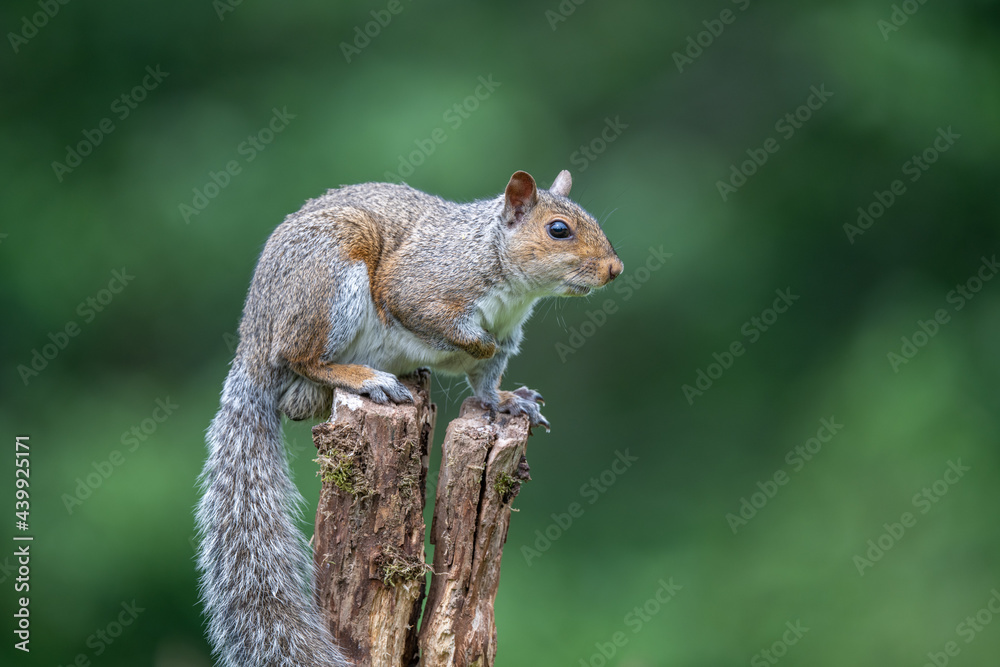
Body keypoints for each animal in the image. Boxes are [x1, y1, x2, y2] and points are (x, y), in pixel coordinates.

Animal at [195, 169, 623, 667]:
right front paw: (477, 347)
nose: (615, 269)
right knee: (301, 359)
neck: (494, 260)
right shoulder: (423, 287)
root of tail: (254, 338)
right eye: (558, 230)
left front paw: (509, 401)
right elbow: (442, 325)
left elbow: (485, 381)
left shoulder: (508, 333)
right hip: (327, 283)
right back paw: (365, 377)